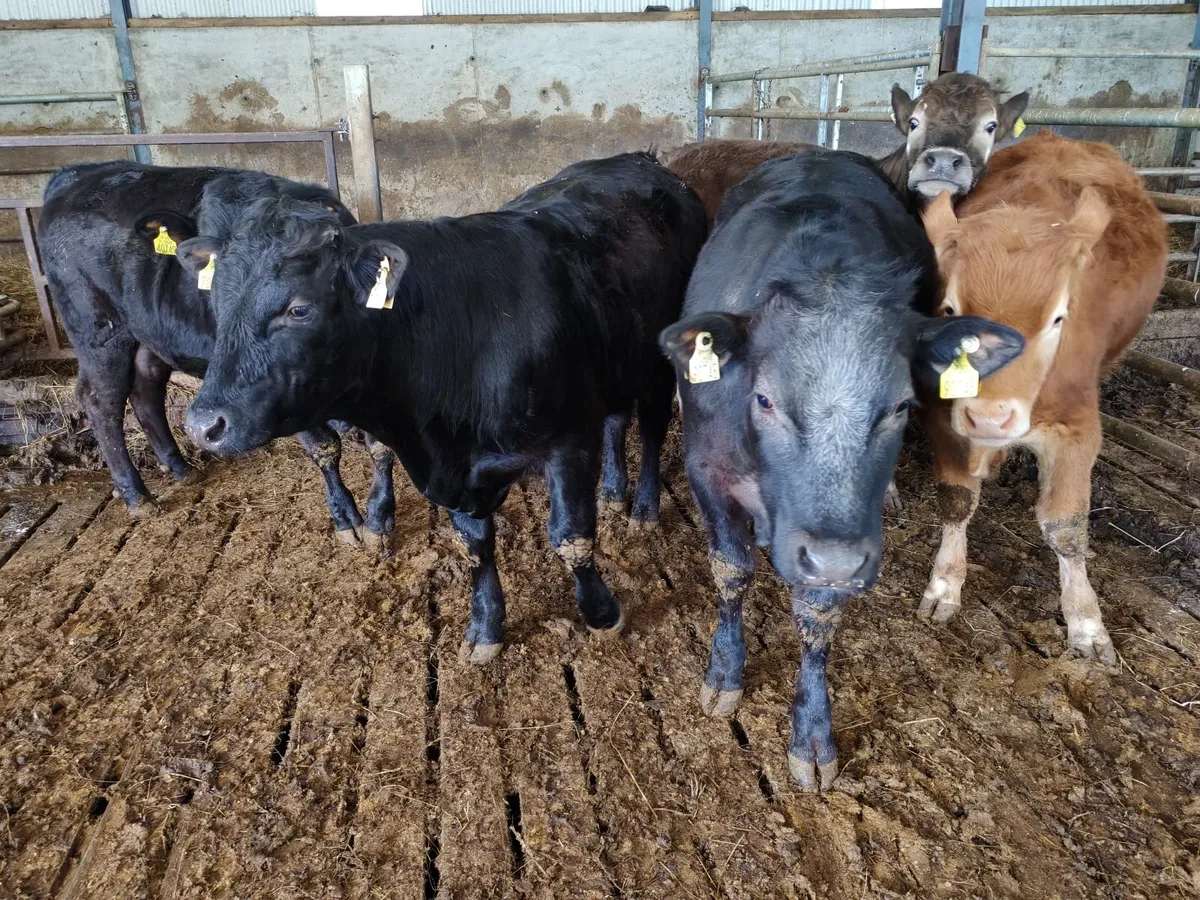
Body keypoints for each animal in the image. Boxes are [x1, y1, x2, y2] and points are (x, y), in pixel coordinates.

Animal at [38, 161, 397, 555]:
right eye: (213, 260)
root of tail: (77, 174)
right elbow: (325, 447)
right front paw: (347, 519)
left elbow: (380, 444)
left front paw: (379, 521)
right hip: (99, 333)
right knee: (101, 401)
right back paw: (137, 496)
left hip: (148, 336)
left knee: (145, 391)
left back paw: (181, 469)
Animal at [178, 152, 707, 661]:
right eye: (217, 301)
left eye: (299, 308)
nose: (203, 425)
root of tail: (641, 160)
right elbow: (475, 546)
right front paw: (486, 627)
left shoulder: (569, 440)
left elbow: (571, 539)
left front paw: (601, 613)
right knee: (617, 421)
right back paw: (614, 491)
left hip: (660, 364)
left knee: (653, 428)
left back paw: (642, 508)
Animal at [659, 149, 1024, 791]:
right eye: (765, 399)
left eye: (900, 406)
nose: (833, 560)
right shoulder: (707, 472)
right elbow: (731, 573)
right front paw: (724, 674)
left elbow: (816, 615)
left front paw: (811, 733)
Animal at [917, 131, 1167, 665]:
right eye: (950, 310)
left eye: (1057, 318)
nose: (990, 417)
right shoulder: (942, 417)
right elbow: (957, 500)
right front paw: (945, 584)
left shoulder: (1077, 427)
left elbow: (1065, 527)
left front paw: (1086, 622)